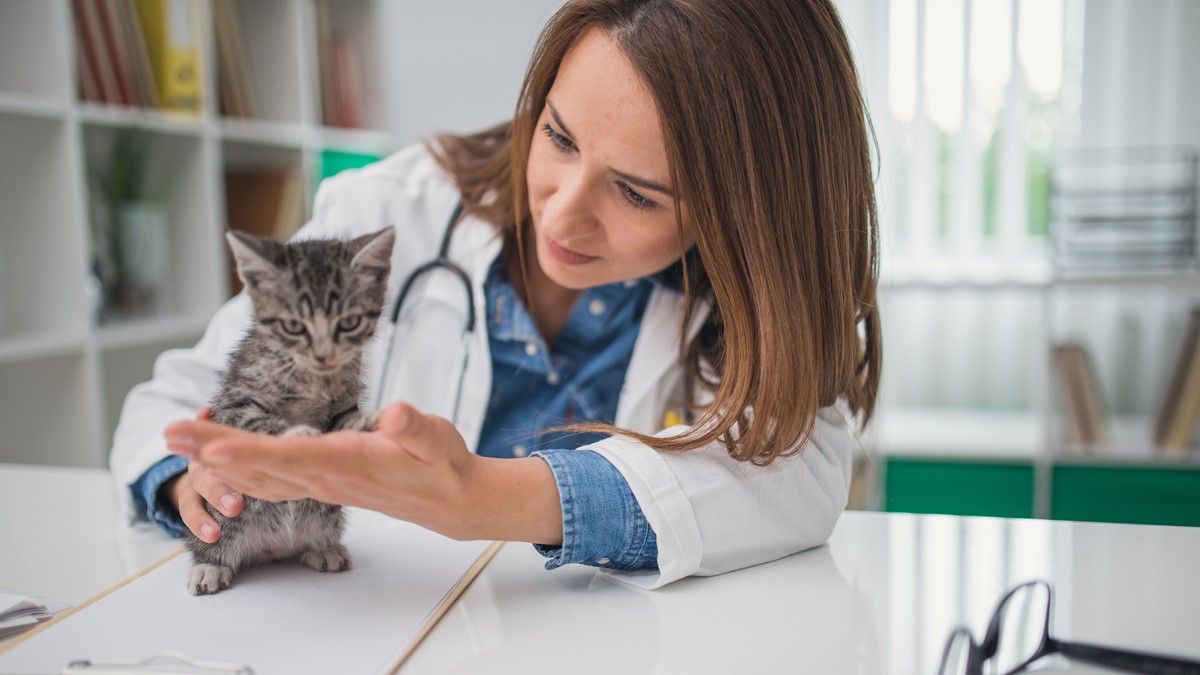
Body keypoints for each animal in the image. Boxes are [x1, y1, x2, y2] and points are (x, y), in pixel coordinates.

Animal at [184, 227, 396, 593]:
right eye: (294, 326)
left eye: (349, 322)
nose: (324, 355)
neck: (313, 378)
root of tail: (269, 550)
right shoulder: (234, 405)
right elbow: (259, 421)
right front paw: (299, 434)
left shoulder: (343, 403)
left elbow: (346, 420)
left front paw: (366, 424)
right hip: (223, 514)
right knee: (212, 537)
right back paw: (209, 565)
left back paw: (321, 549)